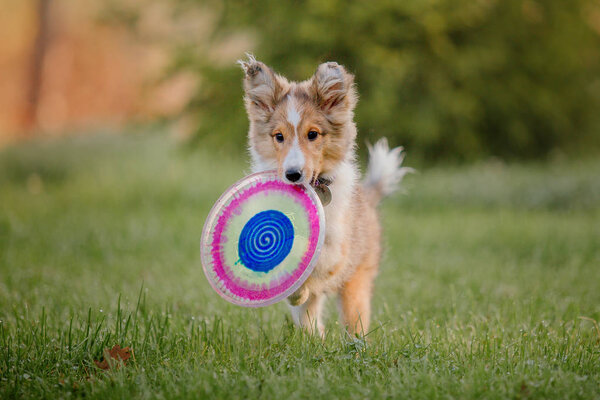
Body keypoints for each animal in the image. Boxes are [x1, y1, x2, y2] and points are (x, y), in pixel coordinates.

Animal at [239, 54, 412, 336]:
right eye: (279, 136)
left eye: (313, 134)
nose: (293, 174)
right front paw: (293, 289)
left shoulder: (336, 248)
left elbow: (310, 256)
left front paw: (298, 286)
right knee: (309, 315)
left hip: (357, 282)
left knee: (354, 319)